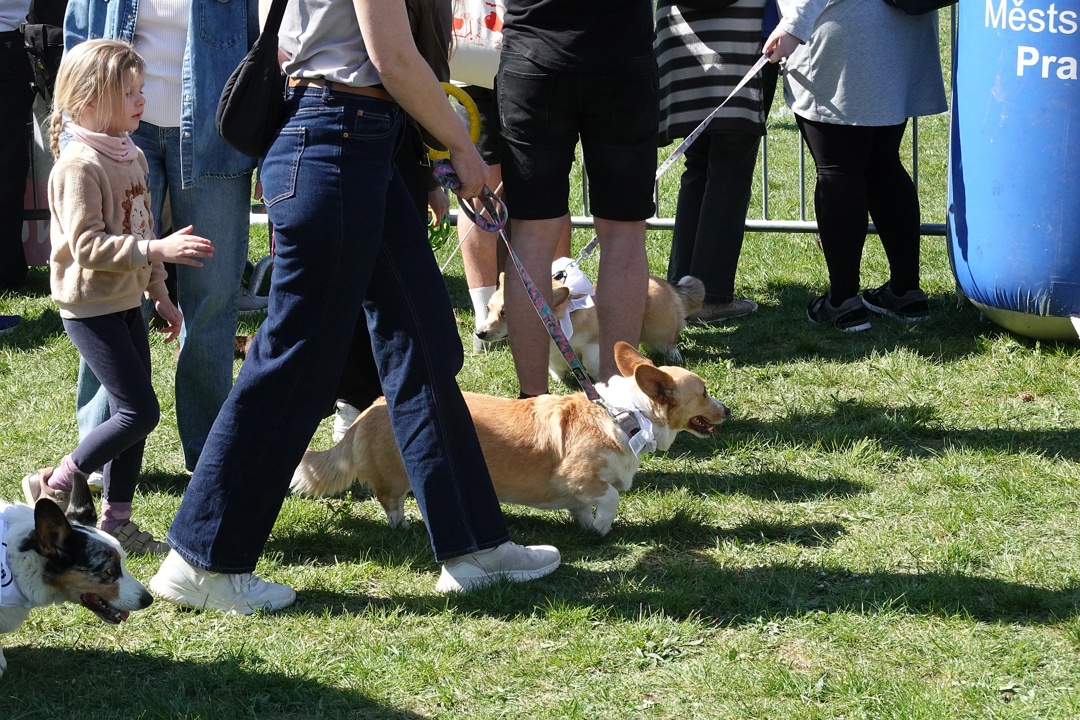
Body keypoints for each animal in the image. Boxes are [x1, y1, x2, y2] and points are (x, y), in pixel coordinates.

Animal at [290, 342, 729, 535]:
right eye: (705, 392)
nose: (727, 410)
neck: (623, 415)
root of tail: (368, 412)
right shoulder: (580, 475)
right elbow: (609, 498)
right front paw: (603, 527)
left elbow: (582, 509)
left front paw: (588, 527)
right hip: (396, 477)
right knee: (391, 500)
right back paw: (404, 525)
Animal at [475, 263, 705, 381]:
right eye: (489, 309)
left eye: (505, 312)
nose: (479, 333)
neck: (559, 321)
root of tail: (667, 285)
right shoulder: (555, 353)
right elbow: (556, 366)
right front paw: (559, 379)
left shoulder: (593, 344)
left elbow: (590, 362)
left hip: (659, 333)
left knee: (670, 342)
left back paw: (674, 356)